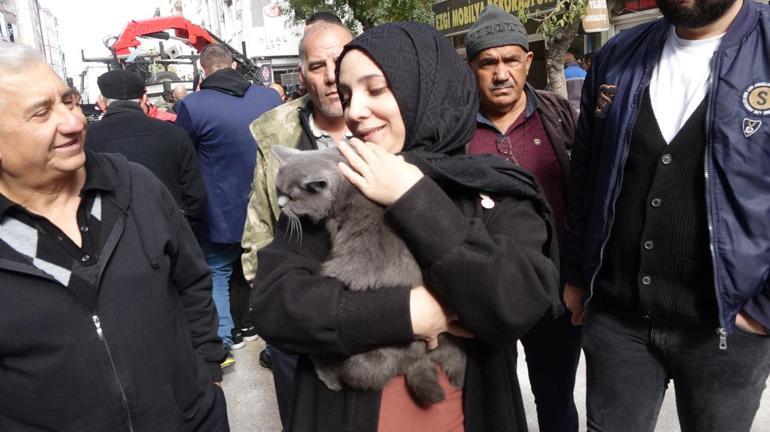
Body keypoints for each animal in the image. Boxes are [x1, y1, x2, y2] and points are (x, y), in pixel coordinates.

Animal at [272, 145, 464, 404]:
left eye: (292, 197)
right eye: (278, 189)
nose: (280, 205)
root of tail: (416, 357)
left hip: (364, 357)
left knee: (349, 373)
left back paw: (324, 373)